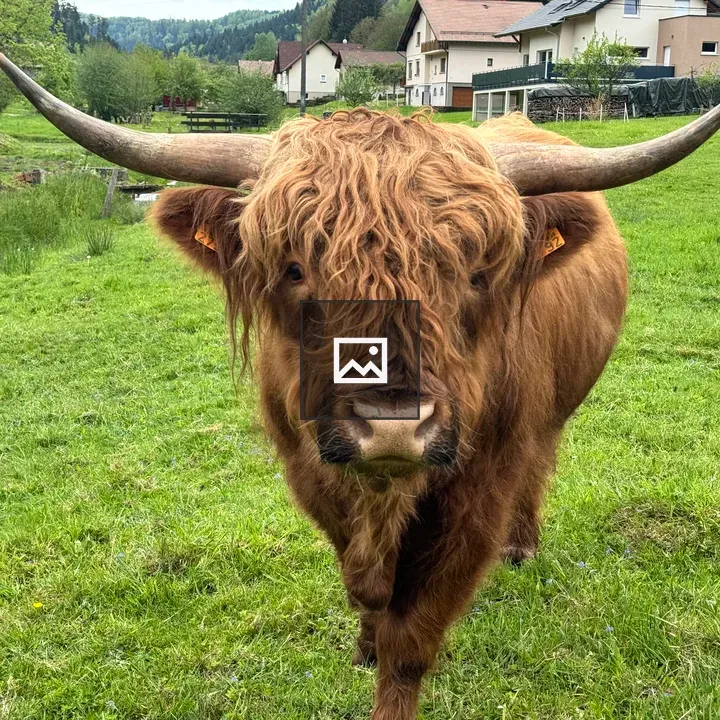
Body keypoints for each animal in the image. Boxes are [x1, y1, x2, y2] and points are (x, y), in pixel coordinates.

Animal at [2, 53, 719, 720]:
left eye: (476, 273)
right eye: (295, 268)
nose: (393, 423)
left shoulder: (477, 496)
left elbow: (413, 638)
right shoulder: (311, 472)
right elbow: (364, 585)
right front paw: (365, 642)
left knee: (542, 460)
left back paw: (522, 545)